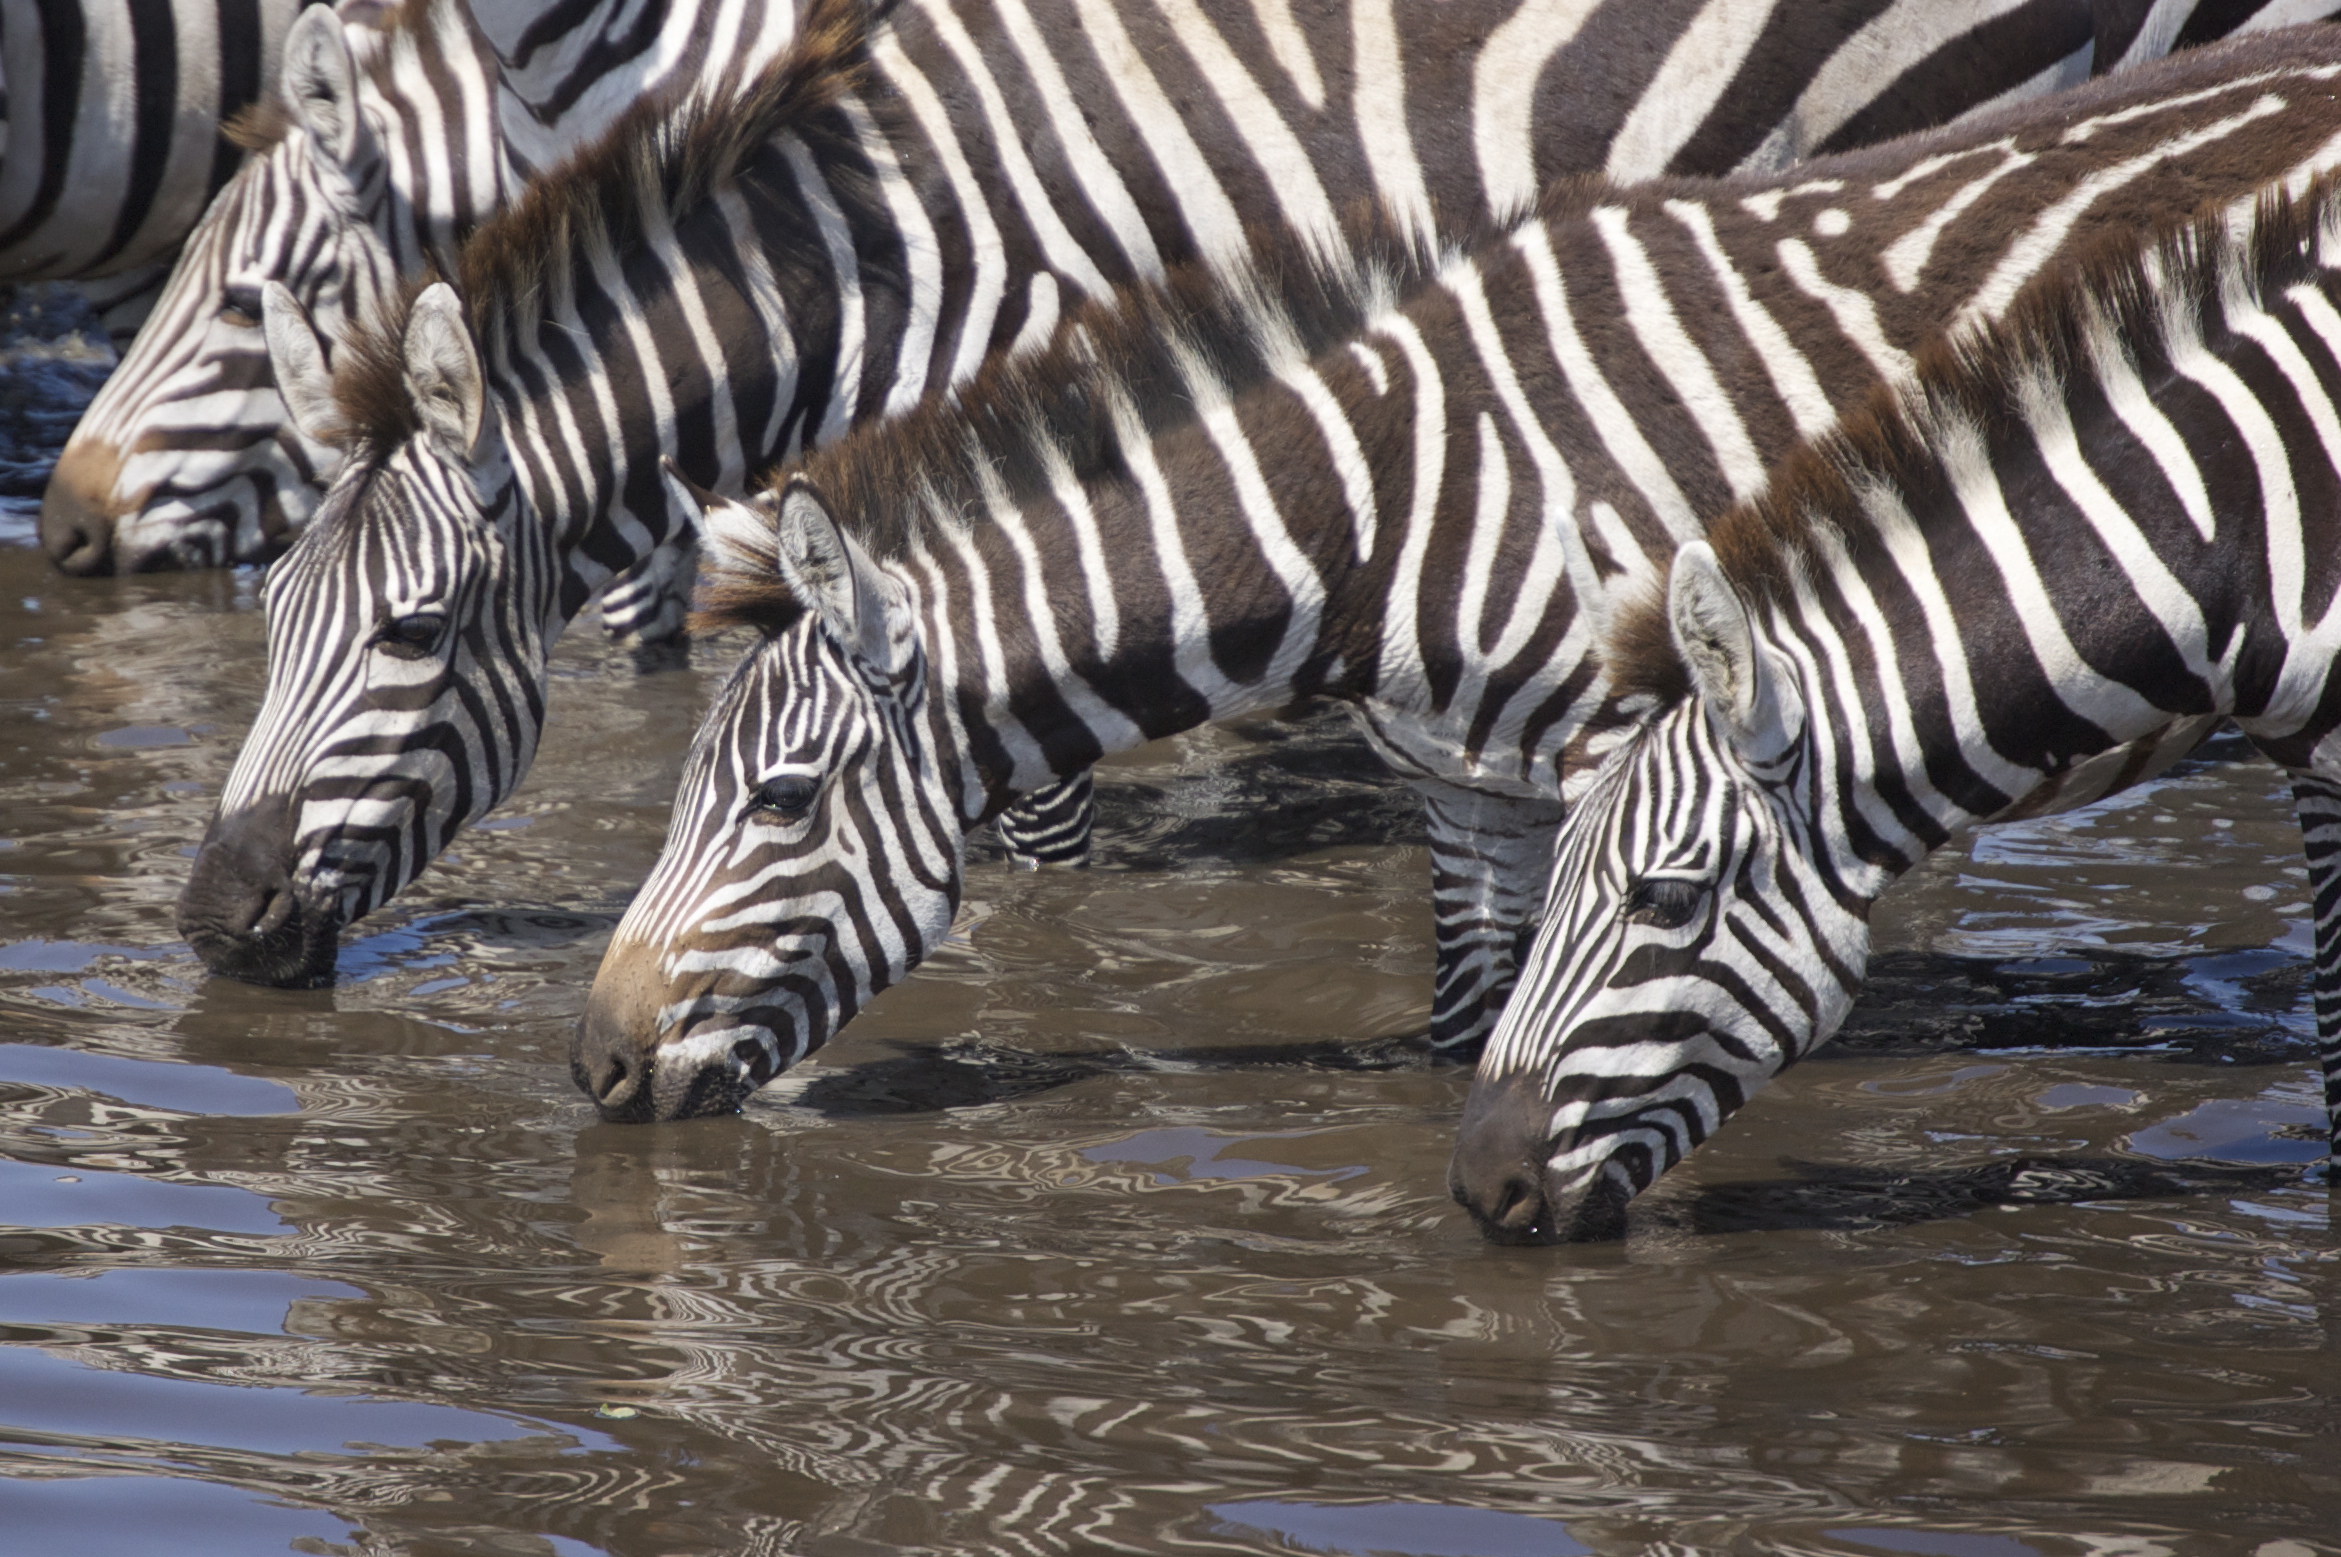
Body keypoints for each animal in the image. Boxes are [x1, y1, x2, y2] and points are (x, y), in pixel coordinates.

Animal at [561, 33, 2341, 1119]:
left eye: (780, 798)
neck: (1395, 506)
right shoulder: (1466, 794)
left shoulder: (1647, 772)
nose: (592, 1069)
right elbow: (1467, 1036)